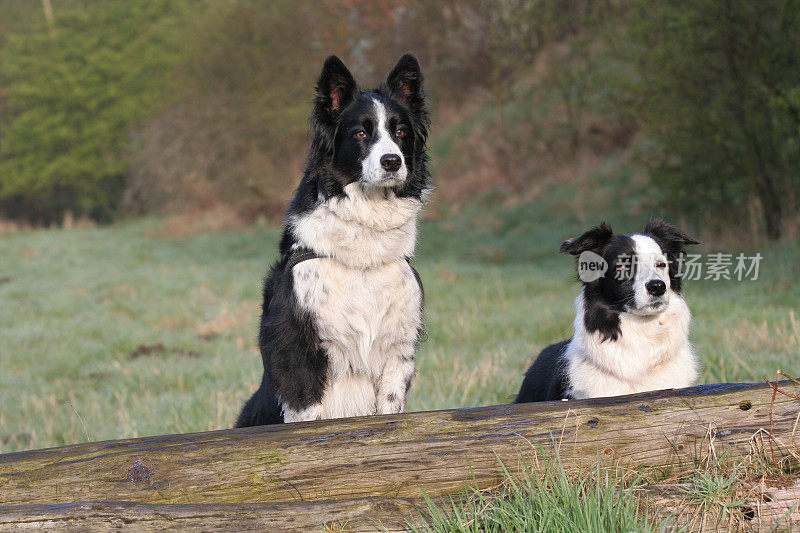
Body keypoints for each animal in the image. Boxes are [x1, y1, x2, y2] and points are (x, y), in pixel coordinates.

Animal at [236, 54, 432, 426]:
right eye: (360, 133)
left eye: (400, 132)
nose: (392, 161)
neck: (363, 259)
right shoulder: (297, 350)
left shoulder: (398, 349)